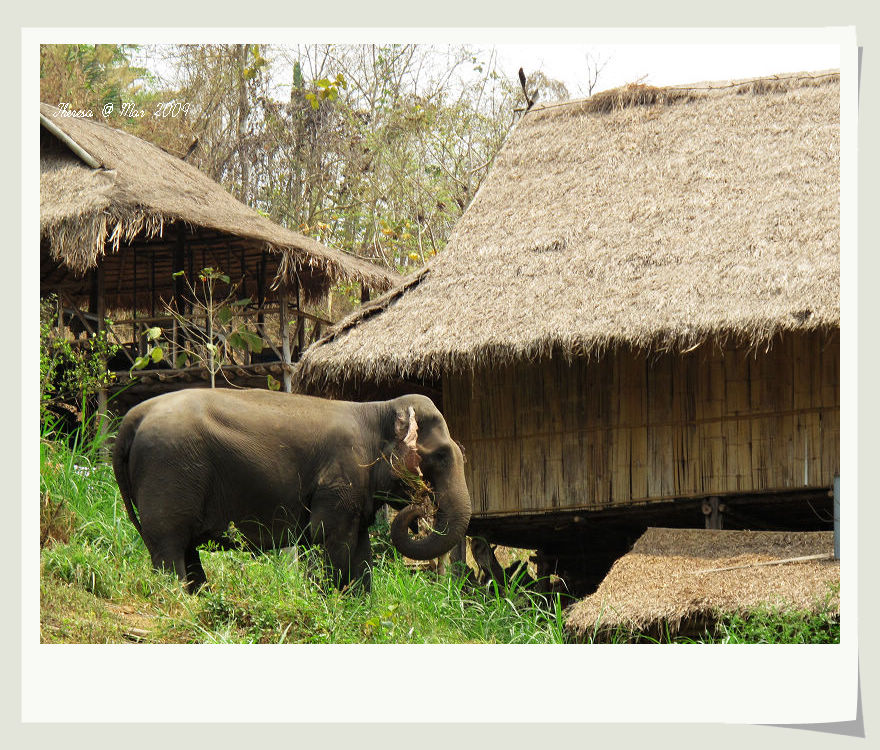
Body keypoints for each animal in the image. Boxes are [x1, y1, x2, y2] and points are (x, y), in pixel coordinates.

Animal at [111, 389, 471, 593]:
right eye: (441, 455)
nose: (422, 505)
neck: (376, 409)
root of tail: (133, 417)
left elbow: (361, 552)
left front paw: (357, 607)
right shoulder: (338, 480)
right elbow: (332, 539)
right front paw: (333, 603)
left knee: (183, 547)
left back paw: (201, 598)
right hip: (169, 469)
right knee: (169, 544)